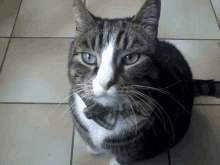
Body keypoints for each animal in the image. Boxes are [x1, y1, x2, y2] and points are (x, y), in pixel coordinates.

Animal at [68, 0, 219, 164]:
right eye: (88, 57)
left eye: (131, 58)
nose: (105, 82)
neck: (107, 113)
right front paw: (94, 149)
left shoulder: (137, 148)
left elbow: (125, 157)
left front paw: (113, 161)